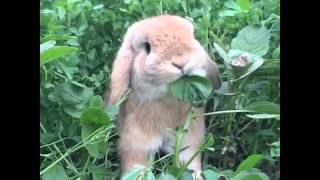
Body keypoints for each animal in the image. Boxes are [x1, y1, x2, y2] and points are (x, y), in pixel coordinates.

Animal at [106, 14, 221, 179]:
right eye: (147, 47)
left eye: (191, 37)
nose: (181, 62)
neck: (167, 99)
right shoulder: (135, 147)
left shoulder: (189, 142)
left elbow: (191, 165)